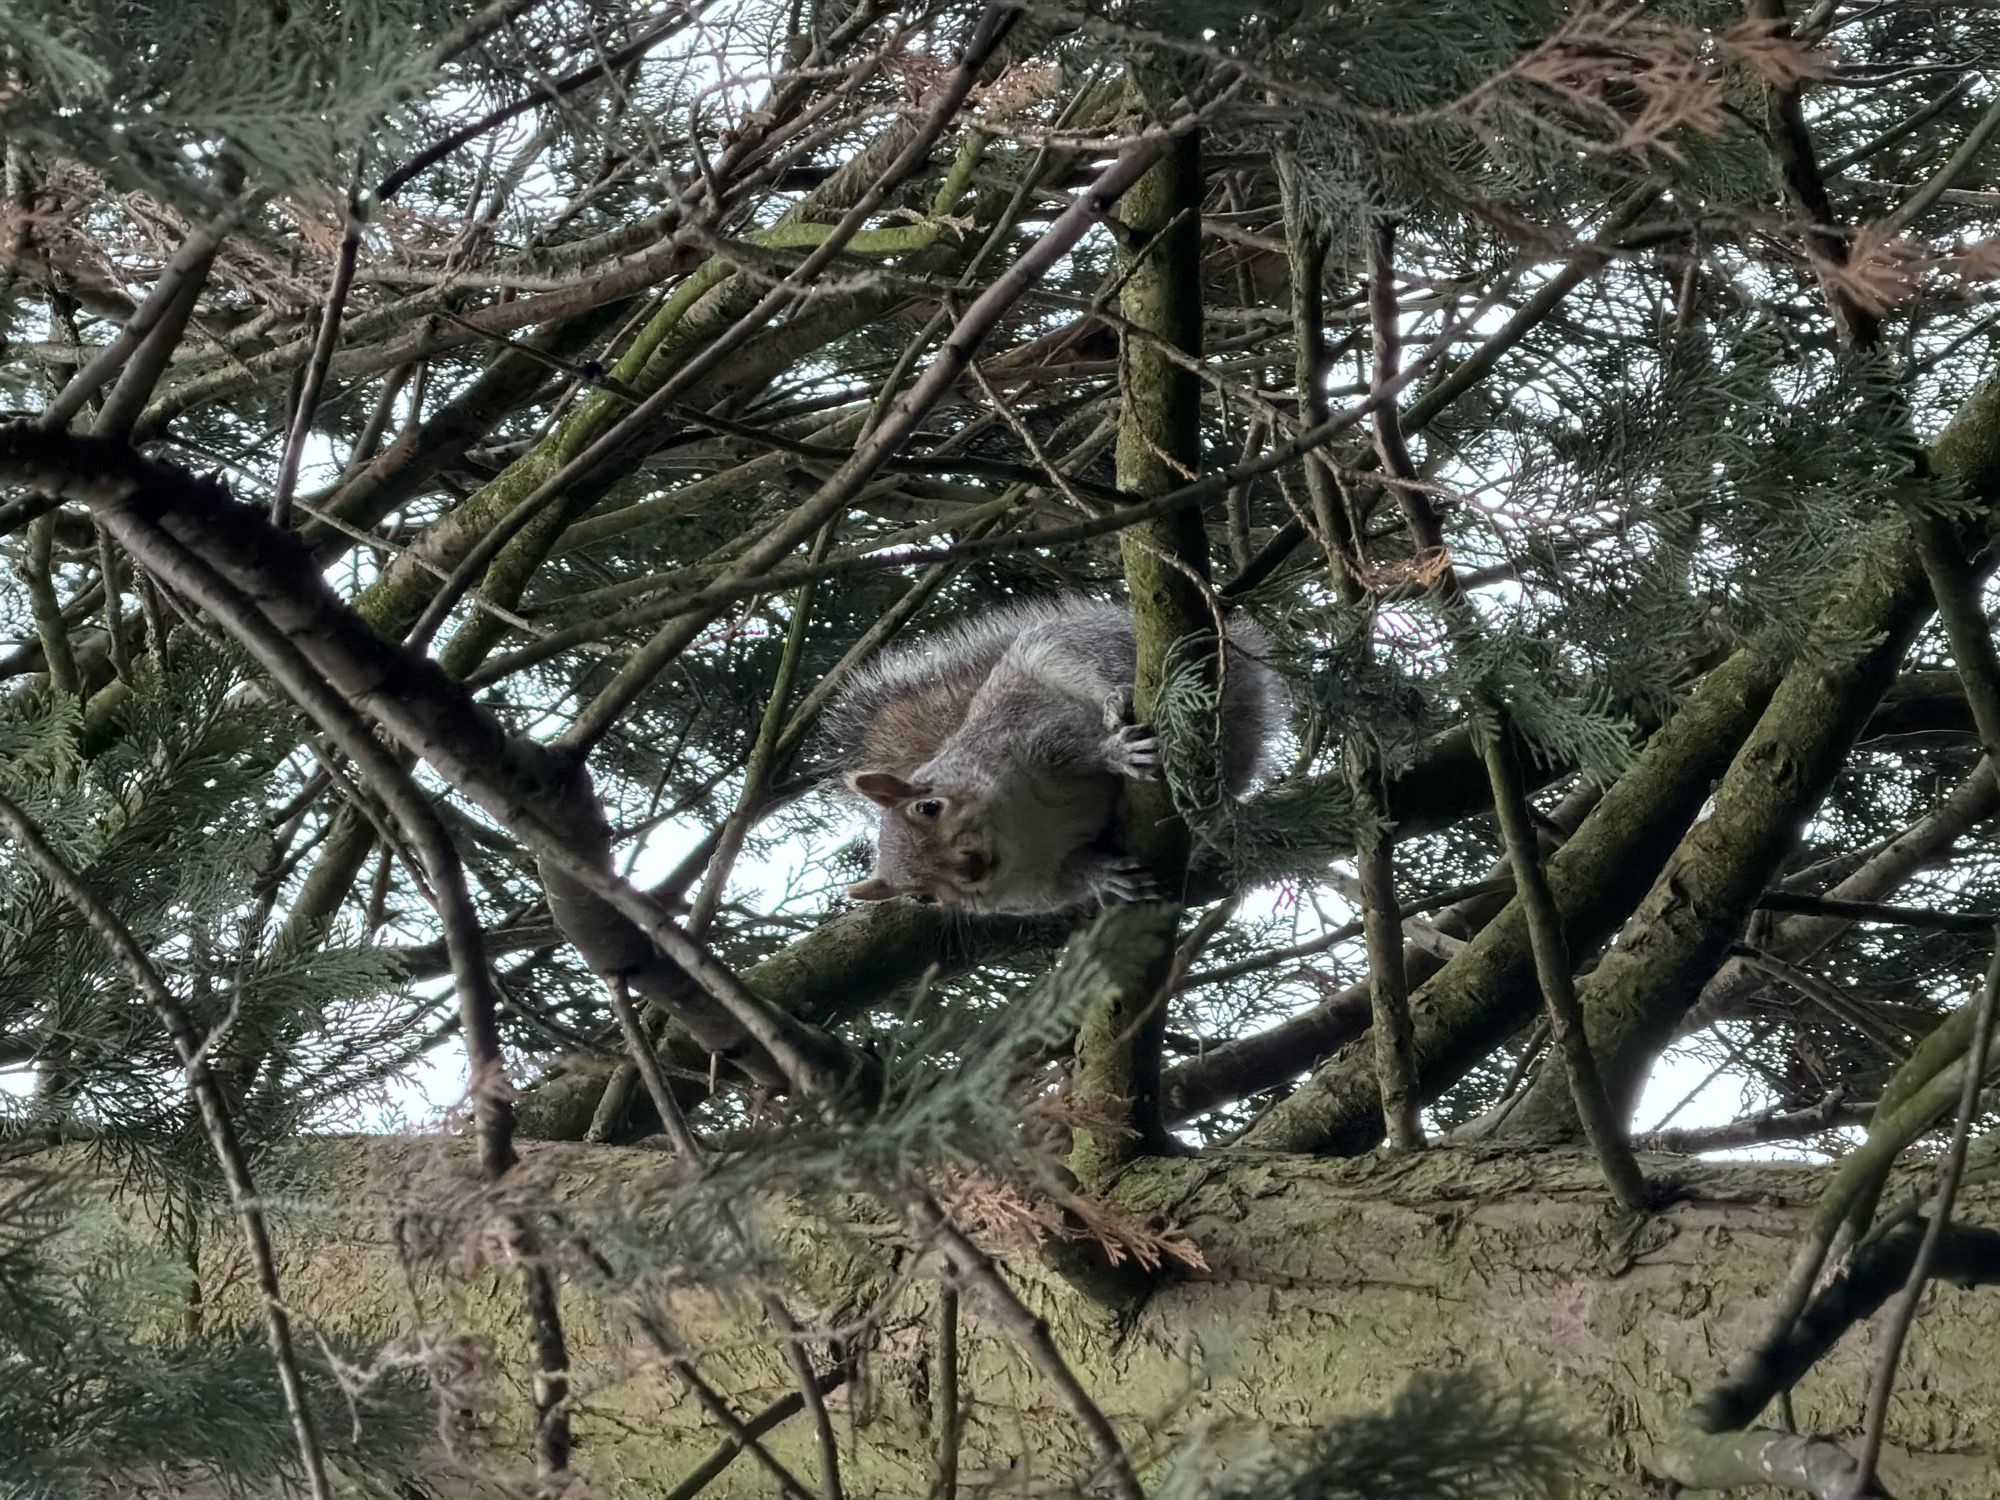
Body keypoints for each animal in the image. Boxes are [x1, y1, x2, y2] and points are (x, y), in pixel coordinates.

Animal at [823, 596, 1282, 914]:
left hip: (1075, 648)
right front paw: (1104, 878)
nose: (971, 869)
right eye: (922, 897)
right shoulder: (1039, 891)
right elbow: (1073, 877)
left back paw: (1119, 702)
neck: (1024, 828)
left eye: (929, 807)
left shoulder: (1036, 732)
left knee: (1107, 671)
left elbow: (1082, 746)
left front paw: (1117, 752)